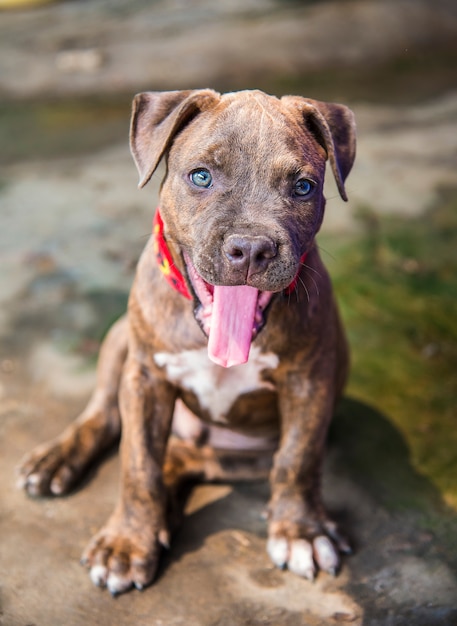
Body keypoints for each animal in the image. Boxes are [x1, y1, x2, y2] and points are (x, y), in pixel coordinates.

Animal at [18, 86, 356, 588]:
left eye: (304, 187)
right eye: (201, 176)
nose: (251, 248)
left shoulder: (308, 382)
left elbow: (298, 459)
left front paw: (301, 532)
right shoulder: (144, 378)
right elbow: (137, 461)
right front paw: (127, 542)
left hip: (243, 455)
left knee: (188, 458)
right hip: (120, 339)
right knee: (105, 415)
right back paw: (56, 460)